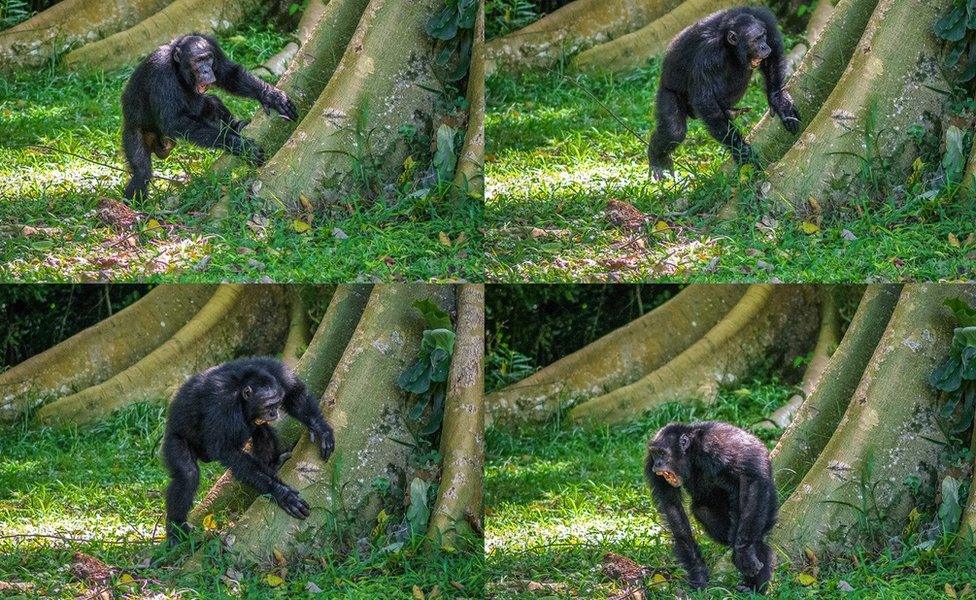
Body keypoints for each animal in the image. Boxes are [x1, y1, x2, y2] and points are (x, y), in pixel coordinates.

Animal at [118, 34, 296, 199]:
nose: (206, 70)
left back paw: (236, 125)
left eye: (208, 59)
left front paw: (271, 95)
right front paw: (239, 145)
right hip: (134, 132)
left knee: (212, 103)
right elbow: (173, 121)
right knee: (141, 173)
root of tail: (160, 139)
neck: (177, 68)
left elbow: (229, 74)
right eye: (198, 61)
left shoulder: (214, 47)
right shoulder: (160, 71)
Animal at [164, 356, 336, 544]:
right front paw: (281, 493)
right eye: (268, 405)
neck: (241, 389)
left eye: (277, 402)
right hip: (174, 439)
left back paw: (274, 463)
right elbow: (229, 452)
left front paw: (320, 429)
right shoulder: (222, 407)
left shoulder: (275, 370)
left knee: (261, 430)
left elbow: (294, 394)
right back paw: (176, 530)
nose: (274, 413)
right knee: (188, 474)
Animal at [648, 7, 800, 178]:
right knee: (674, 131)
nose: (763, 47)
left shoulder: (762, 17)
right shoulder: (707, 57)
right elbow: (705, 101)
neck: (729, 44)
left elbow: (772, 54)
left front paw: (779, 101)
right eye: (755, 40)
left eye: (763, 36)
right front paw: (739, 148)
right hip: (667, 92)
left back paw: (730, 112)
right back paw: (656, 159)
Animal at [648, 420, 776, 592]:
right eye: (655, 454)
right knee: (704, 512)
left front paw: (744, 552)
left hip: (767, 497)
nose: (657, 464)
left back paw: (754, 582)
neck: (691, 454)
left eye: (662, 453)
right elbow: (671, 506)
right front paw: (698, 572)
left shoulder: (714, 446)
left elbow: (751, 477)